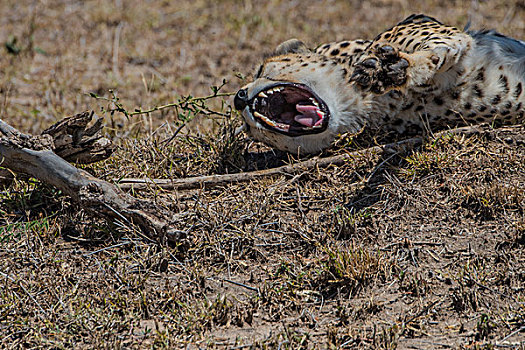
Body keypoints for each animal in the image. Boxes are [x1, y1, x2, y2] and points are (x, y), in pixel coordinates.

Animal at [233, 14, 524, 153]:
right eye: (249, 131)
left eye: (261, 69)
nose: (238, 98)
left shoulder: (427, 25)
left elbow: (430, 47)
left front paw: (395, 67)